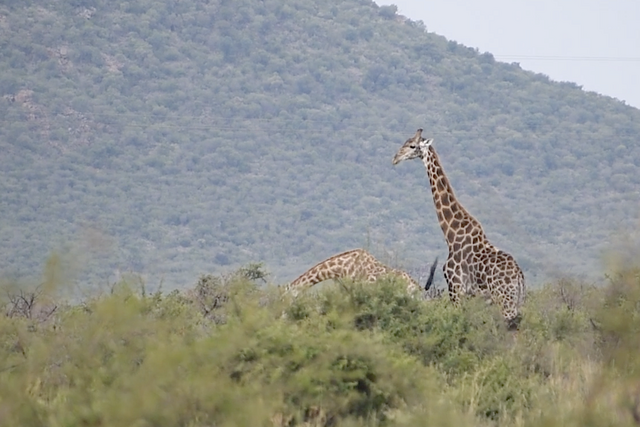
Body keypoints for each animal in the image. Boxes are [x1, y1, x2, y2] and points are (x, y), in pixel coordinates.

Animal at [392, 129, 526, 328]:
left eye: (412, 146)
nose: (395, 158)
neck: (451, 235)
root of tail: (519, 277)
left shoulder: (455, 288)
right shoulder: (469, 294)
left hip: (505, 303)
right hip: (517, 303)